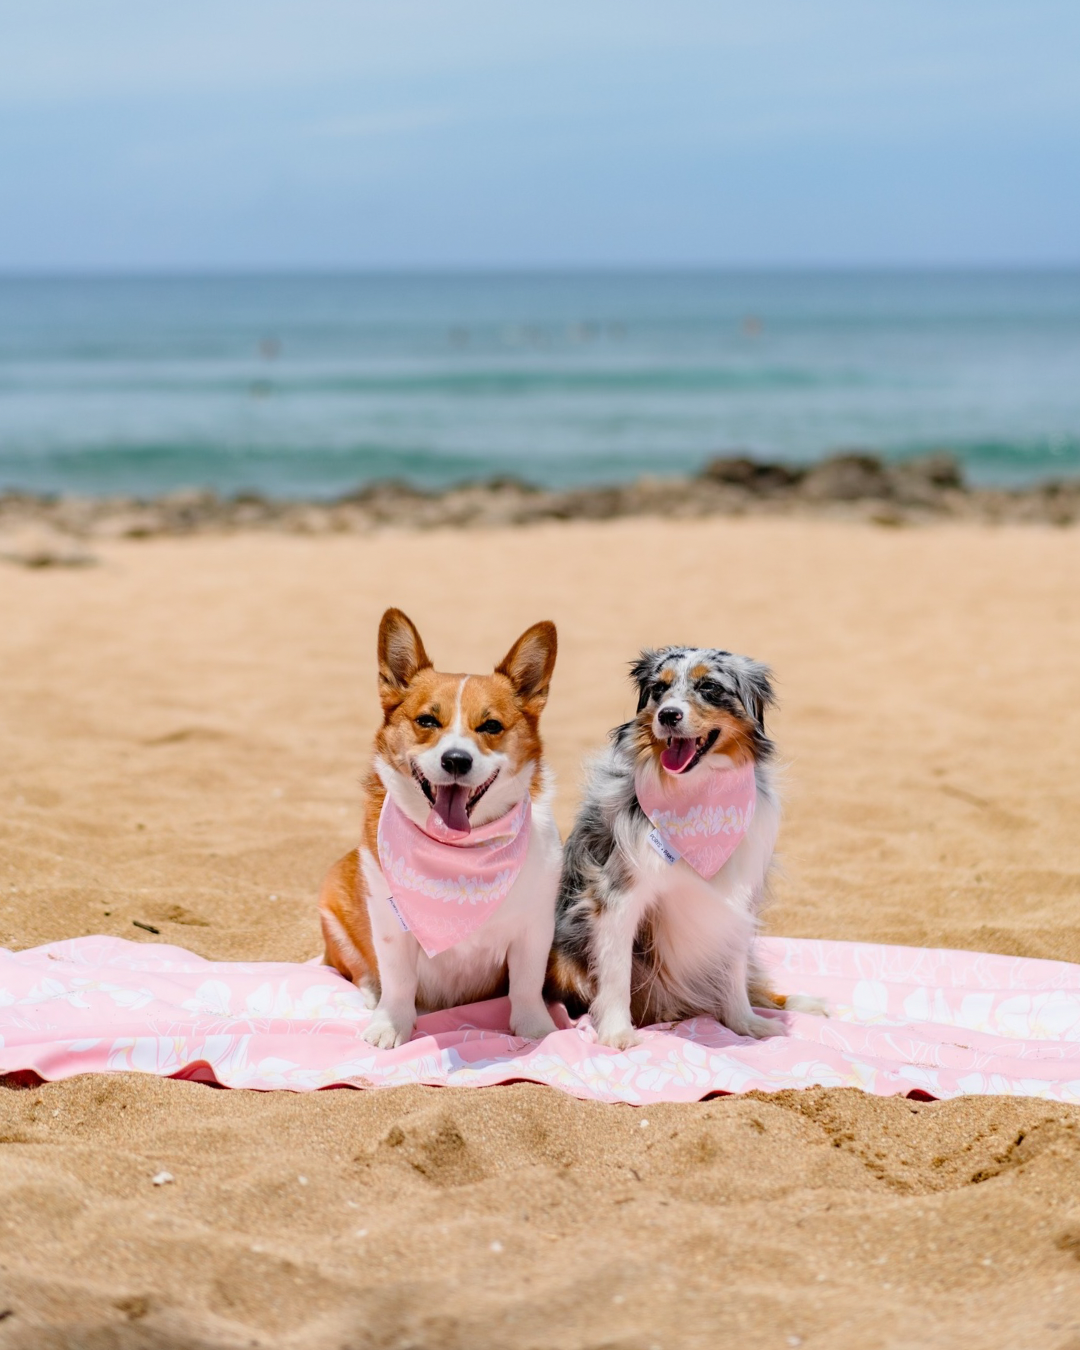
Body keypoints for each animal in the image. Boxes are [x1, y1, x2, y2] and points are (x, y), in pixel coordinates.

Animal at [318, 607, 561, 1047]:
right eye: (427, 720)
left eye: (491, 726)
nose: (456, 761)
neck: (459, 855)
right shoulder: (391, 927)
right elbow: (398, 981)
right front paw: (390, 1025)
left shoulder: (535, 927)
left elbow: (527, 985)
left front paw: (535, 1028)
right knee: (359, 971)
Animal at [548, 648, 810, 1047]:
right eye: (659, 688)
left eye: (710, 687)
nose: (668, 715)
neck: (697, 794)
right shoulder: (617, 895)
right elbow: (616, 974)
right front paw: (616, 1033)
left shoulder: (737, 900)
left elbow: (733, 972)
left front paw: (745, 1024)